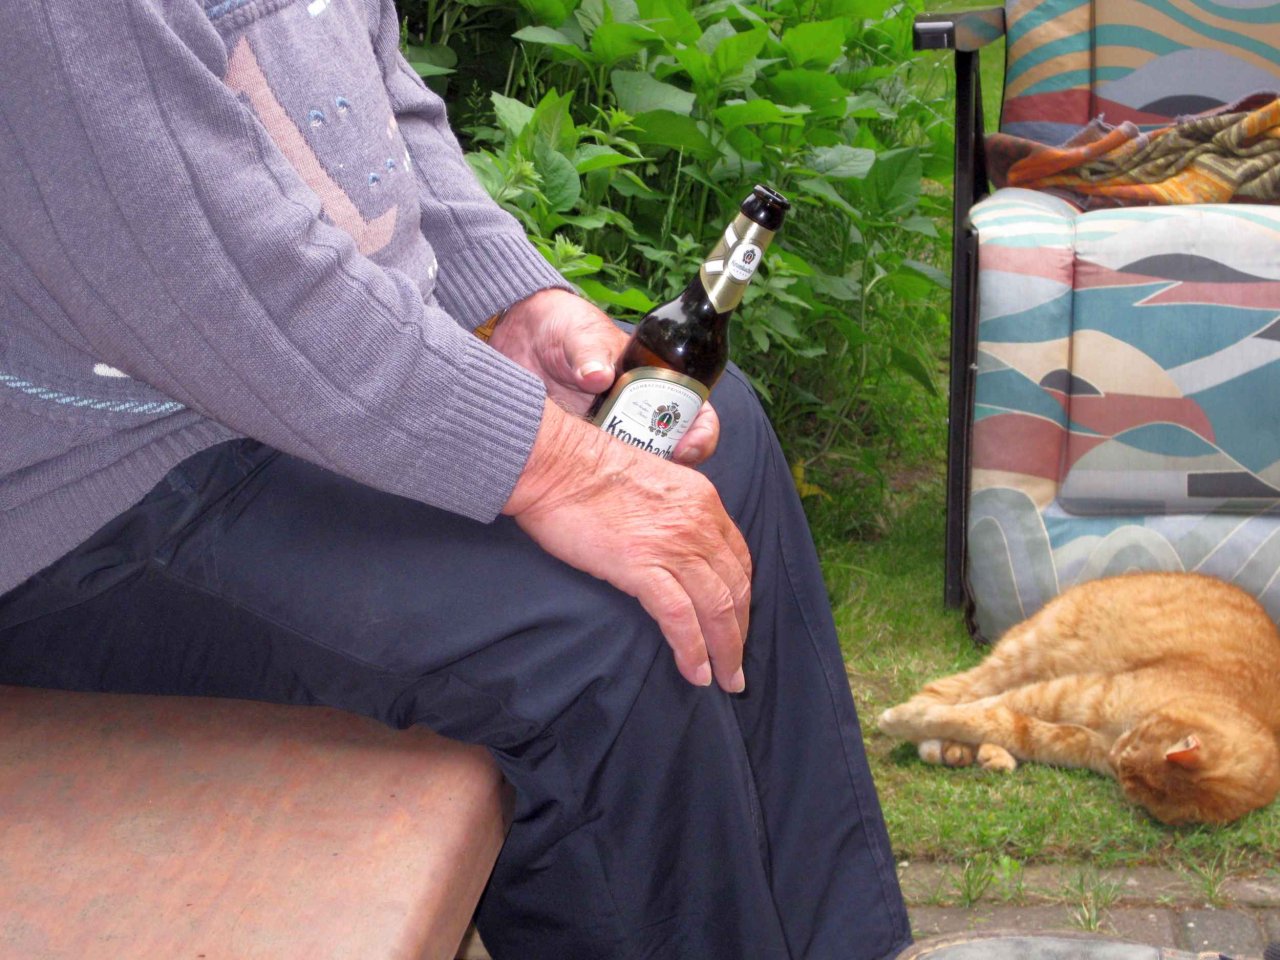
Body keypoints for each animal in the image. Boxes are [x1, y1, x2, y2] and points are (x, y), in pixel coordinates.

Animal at [877, 572, 1280, 825]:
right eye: (1133, 748)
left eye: (1131, 780)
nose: (1115, 754)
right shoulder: (1075, 694)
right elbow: (978, 712)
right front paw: (906, 720)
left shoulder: (1075, 736)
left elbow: (1014, 727)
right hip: (1026, 657)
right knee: (947, 689)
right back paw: (932, 737)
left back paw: (983, 753)